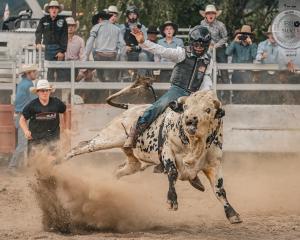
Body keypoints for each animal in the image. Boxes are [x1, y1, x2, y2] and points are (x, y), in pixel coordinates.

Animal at [64, 91, 243, 224]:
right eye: (185, 107)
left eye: (208, 110)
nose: (190, 120)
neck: (195, 145)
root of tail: (131, 107)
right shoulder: (168, 151)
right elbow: (172, 172)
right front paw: (172, 201)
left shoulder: (214, 164)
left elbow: (220, 189)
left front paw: (232, 214)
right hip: (108, 138)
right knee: (79, 147)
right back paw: (60, 164)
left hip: (136, 162)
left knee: (118, 170)